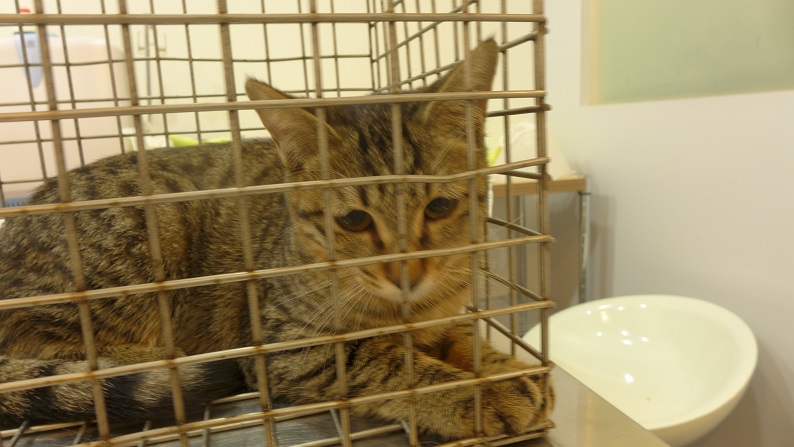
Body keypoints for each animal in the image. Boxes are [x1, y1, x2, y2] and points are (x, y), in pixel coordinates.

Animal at [0, 39, 553, 439]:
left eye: (439, 208)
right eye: (355, 220)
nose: (406, 274)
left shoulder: (446, 311)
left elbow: (463, 336)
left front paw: (507, 369)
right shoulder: (288, 342)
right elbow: (386, 360)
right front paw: (479, 393)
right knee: (60, 356)